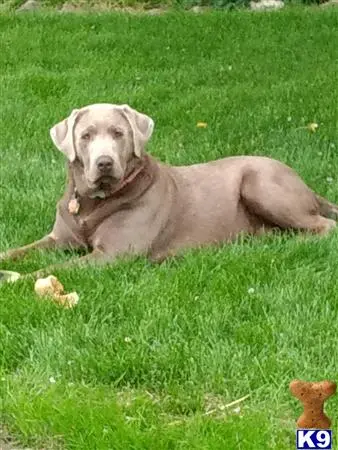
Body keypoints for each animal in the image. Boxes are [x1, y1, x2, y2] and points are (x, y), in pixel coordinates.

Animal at [0, 103, 336, 276]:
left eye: (118, 133)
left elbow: (52, 269)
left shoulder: (113, 254)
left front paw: (14, 280)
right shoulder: (58, 239)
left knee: (324, 226)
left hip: (260, 182)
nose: (105, 163)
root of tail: (304, 183)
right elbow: (18, 251)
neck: (94, 203)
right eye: (85, 136)